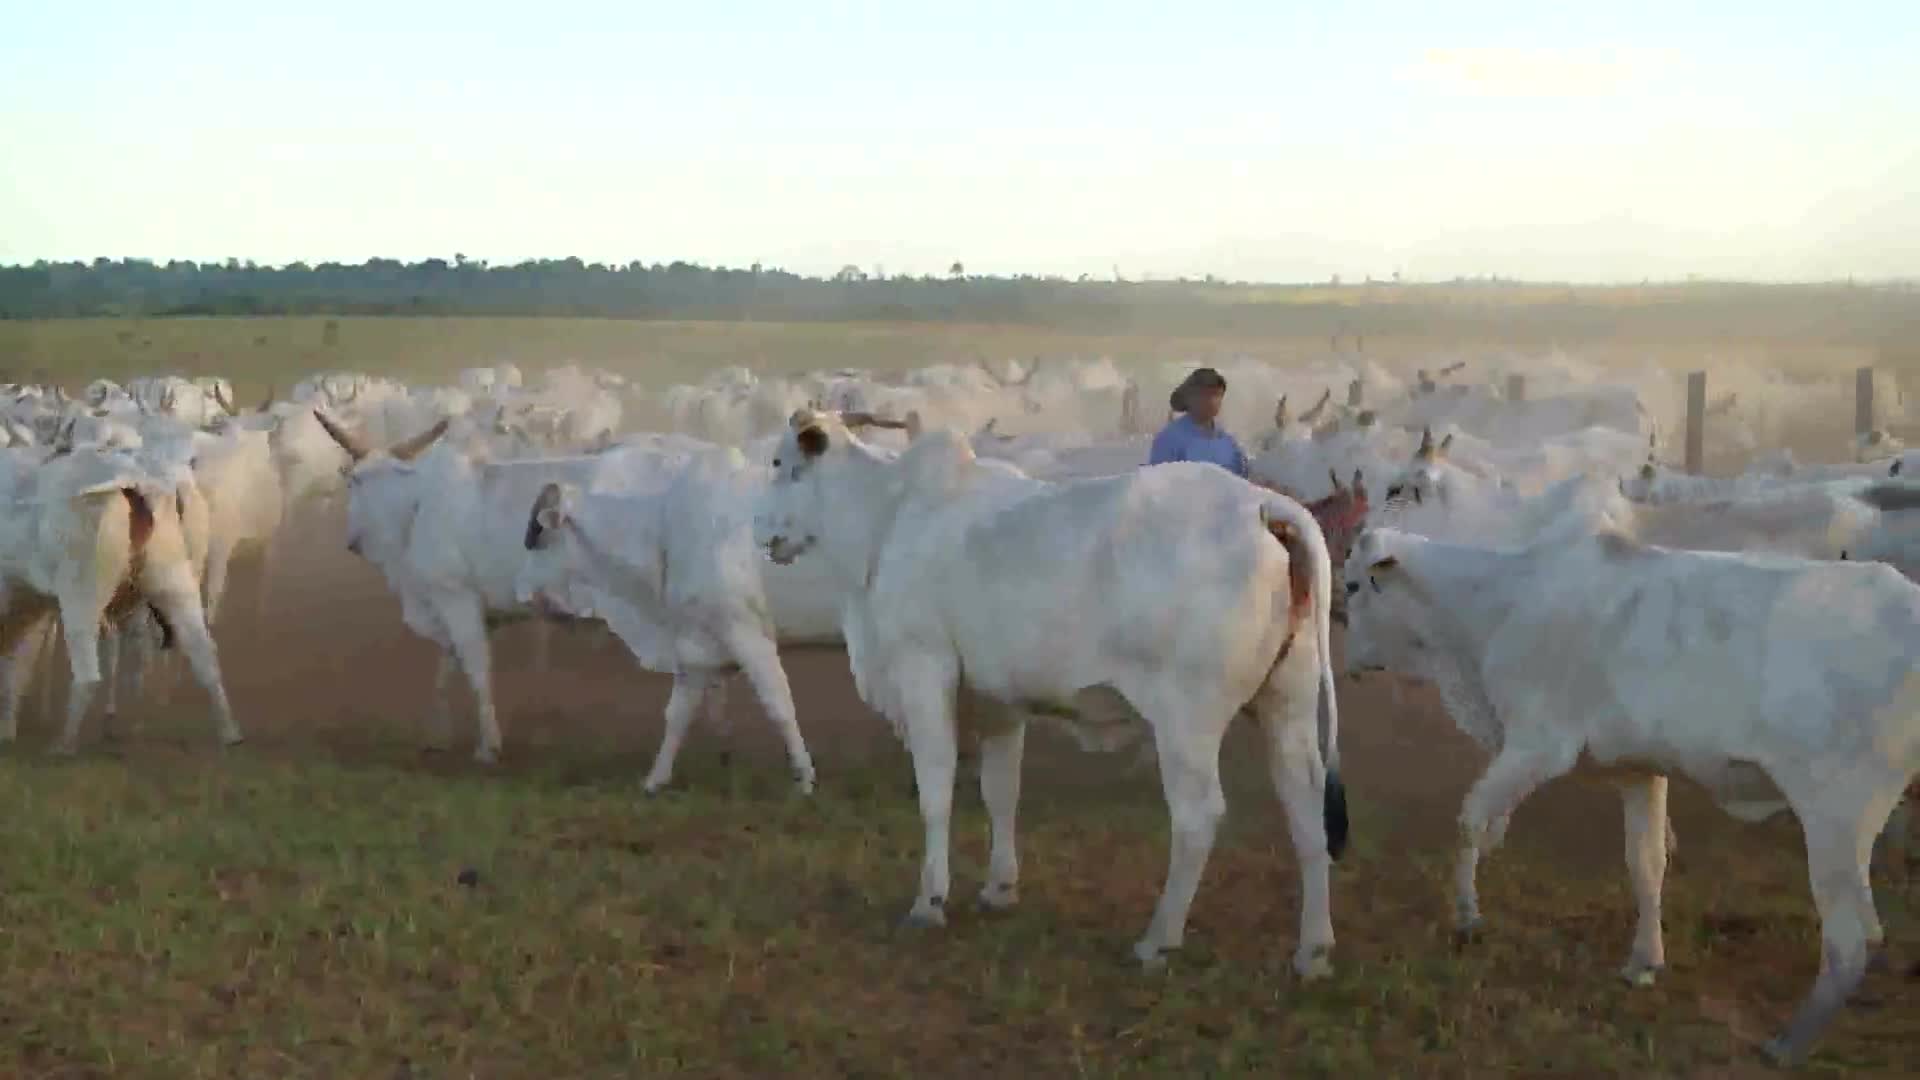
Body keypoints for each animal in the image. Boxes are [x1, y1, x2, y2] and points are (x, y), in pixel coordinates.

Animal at [752, 407, 1351, 972]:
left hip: (1187, 720)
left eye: (781, 463)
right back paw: (1314, 951)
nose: (762, 535)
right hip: (1287, 703)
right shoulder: (999, 702)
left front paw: (929, 901)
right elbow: (1001, 792)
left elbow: (936, 794)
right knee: (1307, 808)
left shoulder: (923, 672)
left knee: (1198, 817)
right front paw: (999, 888)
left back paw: (1157, 940)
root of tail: (1262, 506)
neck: (887, 519)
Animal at [1344, 518, 1920, 1060]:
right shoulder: (1639, 770)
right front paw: (1644, 961)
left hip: (1834, 816)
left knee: (1852, 940)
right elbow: (1645, 866)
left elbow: (1470, 819)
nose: (1346, 655)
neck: (1497, 604)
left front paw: (1467, 916)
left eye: (1351, 585)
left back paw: (1787, 1044)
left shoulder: (1538, 745)